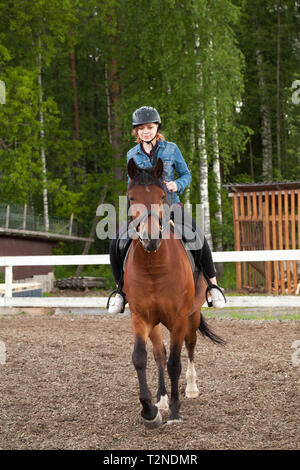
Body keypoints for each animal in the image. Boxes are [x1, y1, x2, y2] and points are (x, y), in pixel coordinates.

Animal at [123, 159, 224, 430]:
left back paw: (190, 388)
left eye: (161, 195)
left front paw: (176, 412)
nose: (150, 239)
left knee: (189, 348)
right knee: (159, 355)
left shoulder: (179, 319)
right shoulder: (140, 317)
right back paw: (161, 400)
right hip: (156, 323)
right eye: (132, 197)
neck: (153, 268)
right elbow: (141, 358)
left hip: (192, 316)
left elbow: (175, 364)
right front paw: (150, 410)